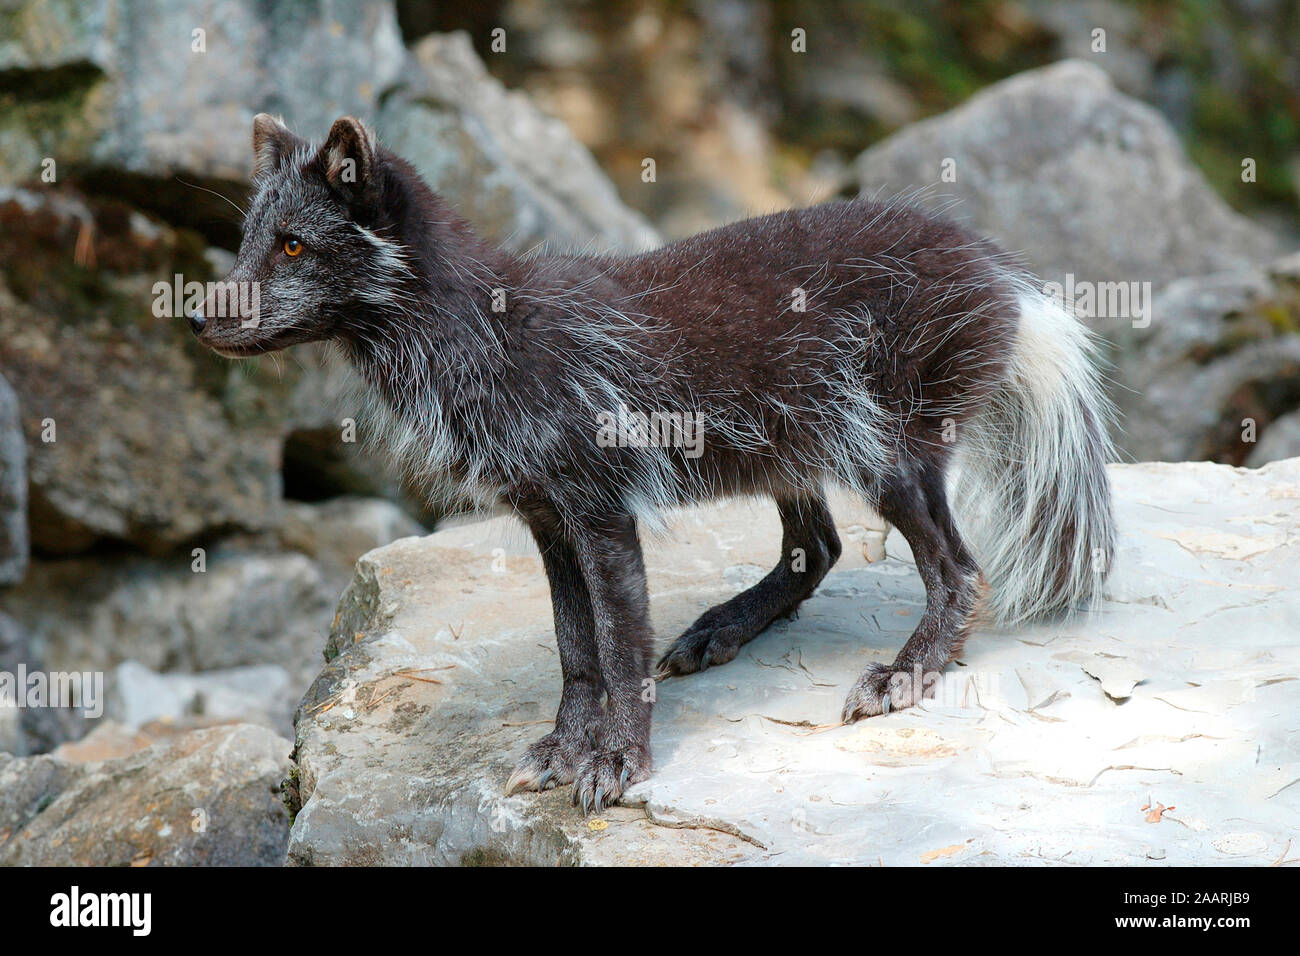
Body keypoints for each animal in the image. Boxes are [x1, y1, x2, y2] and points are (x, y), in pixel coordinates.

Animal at [195, 113, 1118, 816]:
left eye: (293, 248)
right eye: (247, 242)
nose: (200, 318)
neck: (485, 334)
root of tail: (1003, 272)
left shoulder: (602, 509)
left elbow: (621, 647)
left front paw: (619, 763)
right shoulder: (546, 516)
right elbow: (576, 649)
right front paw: (565, 749)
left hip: (885, 452)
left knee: (960, 572)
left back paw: (906, 672)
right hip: (797, 446)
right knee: (817, 549)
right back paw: (723, 627)